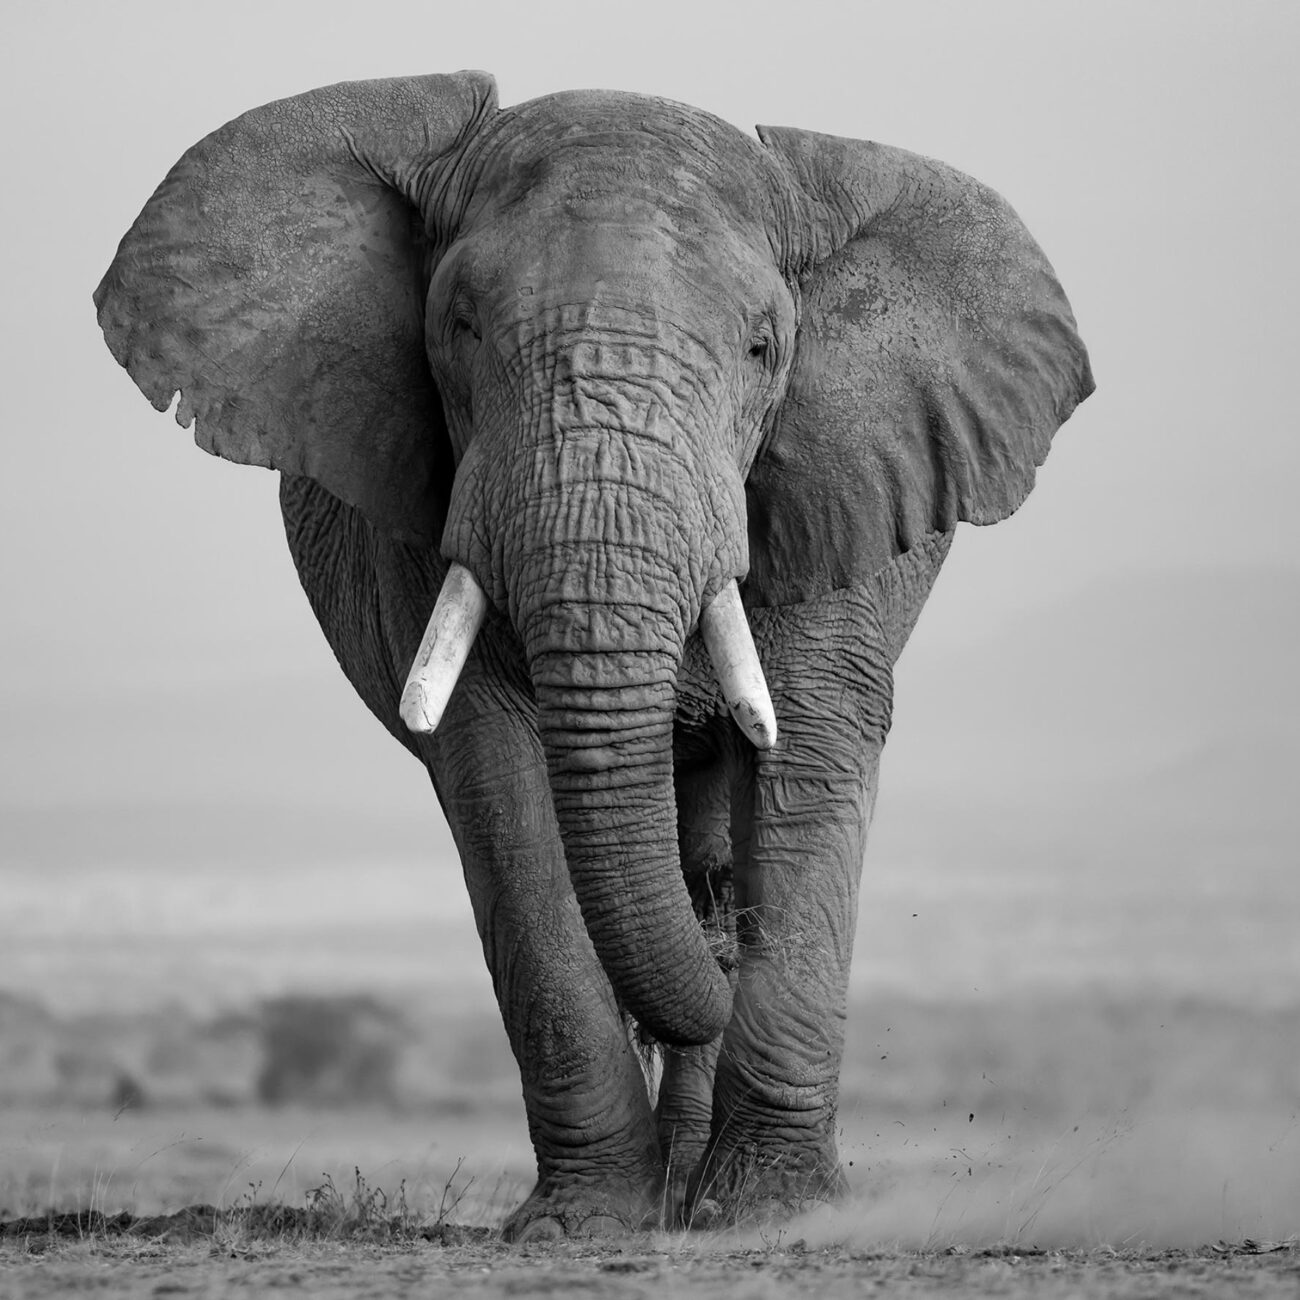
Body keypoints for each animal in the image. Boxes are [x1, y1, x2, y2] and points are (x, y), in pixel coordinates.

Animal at [95, 71, 1092, 1239]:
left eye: (765, 348)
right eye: (461, 327)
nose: (728, 962)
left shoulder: (839, 488)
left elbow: (810, 744)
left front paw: (771, 1213)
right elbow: (500, 786)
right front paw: (586, 1221)